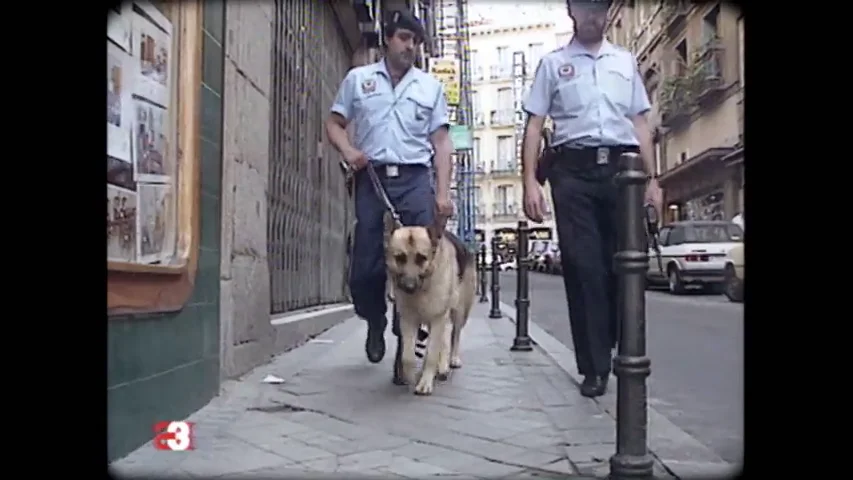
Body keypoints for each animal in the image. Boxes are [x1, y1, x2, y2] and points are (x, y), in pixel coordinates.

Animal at [386, 213, 480, 394]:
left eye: (422, 258)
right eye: (399, 257)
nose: (409, 287)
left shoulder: (437, 318)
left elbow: (431, 354)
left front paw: (425, 381)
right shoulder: (408, 320)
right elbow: (407, 356)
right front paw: (412, 377)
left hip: (458, 313)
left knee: (454, 335)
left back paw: (451, 361)